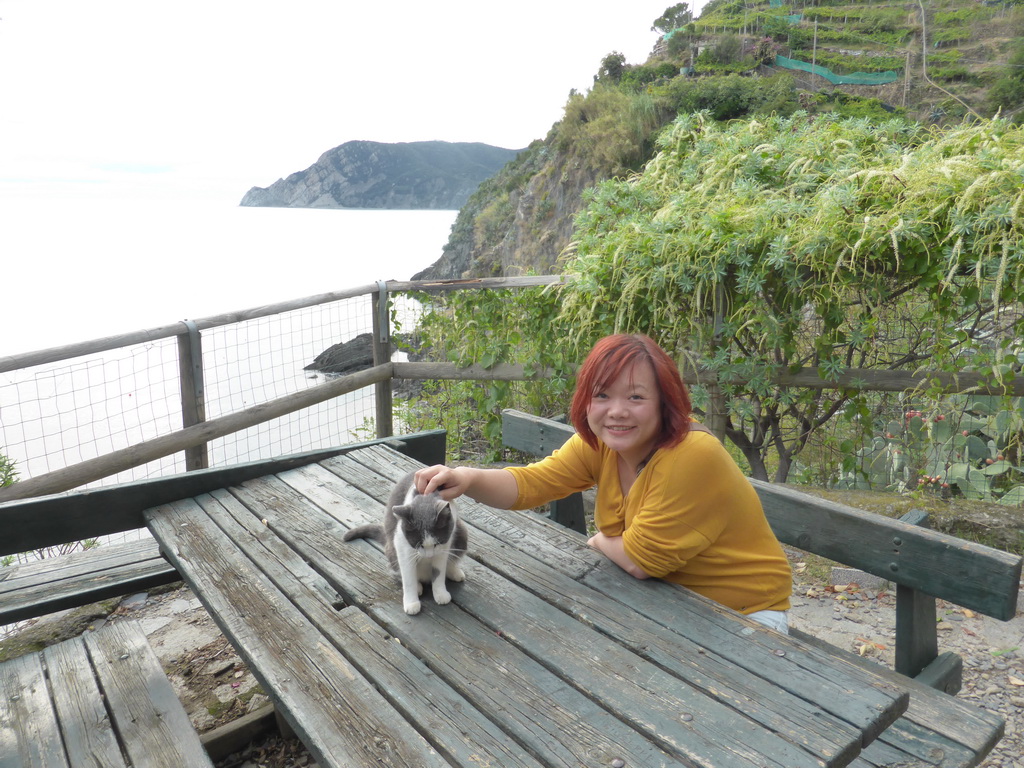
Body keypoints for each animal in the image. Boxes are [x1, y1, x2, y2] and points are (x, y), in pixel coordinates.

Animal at [344, 466, 471, 618]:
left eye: (436, 543)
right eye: (419, 544)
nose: (429, 555)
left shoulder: (444, 545)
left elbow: (439, 571)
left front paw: (440, 593)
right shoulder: (402, 545)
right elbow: (408, 577)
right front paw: (411, 603)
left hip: (461, 533)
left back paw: (454, 572)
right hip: (392, 549)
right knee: (398, 571)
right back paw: (418, 586)